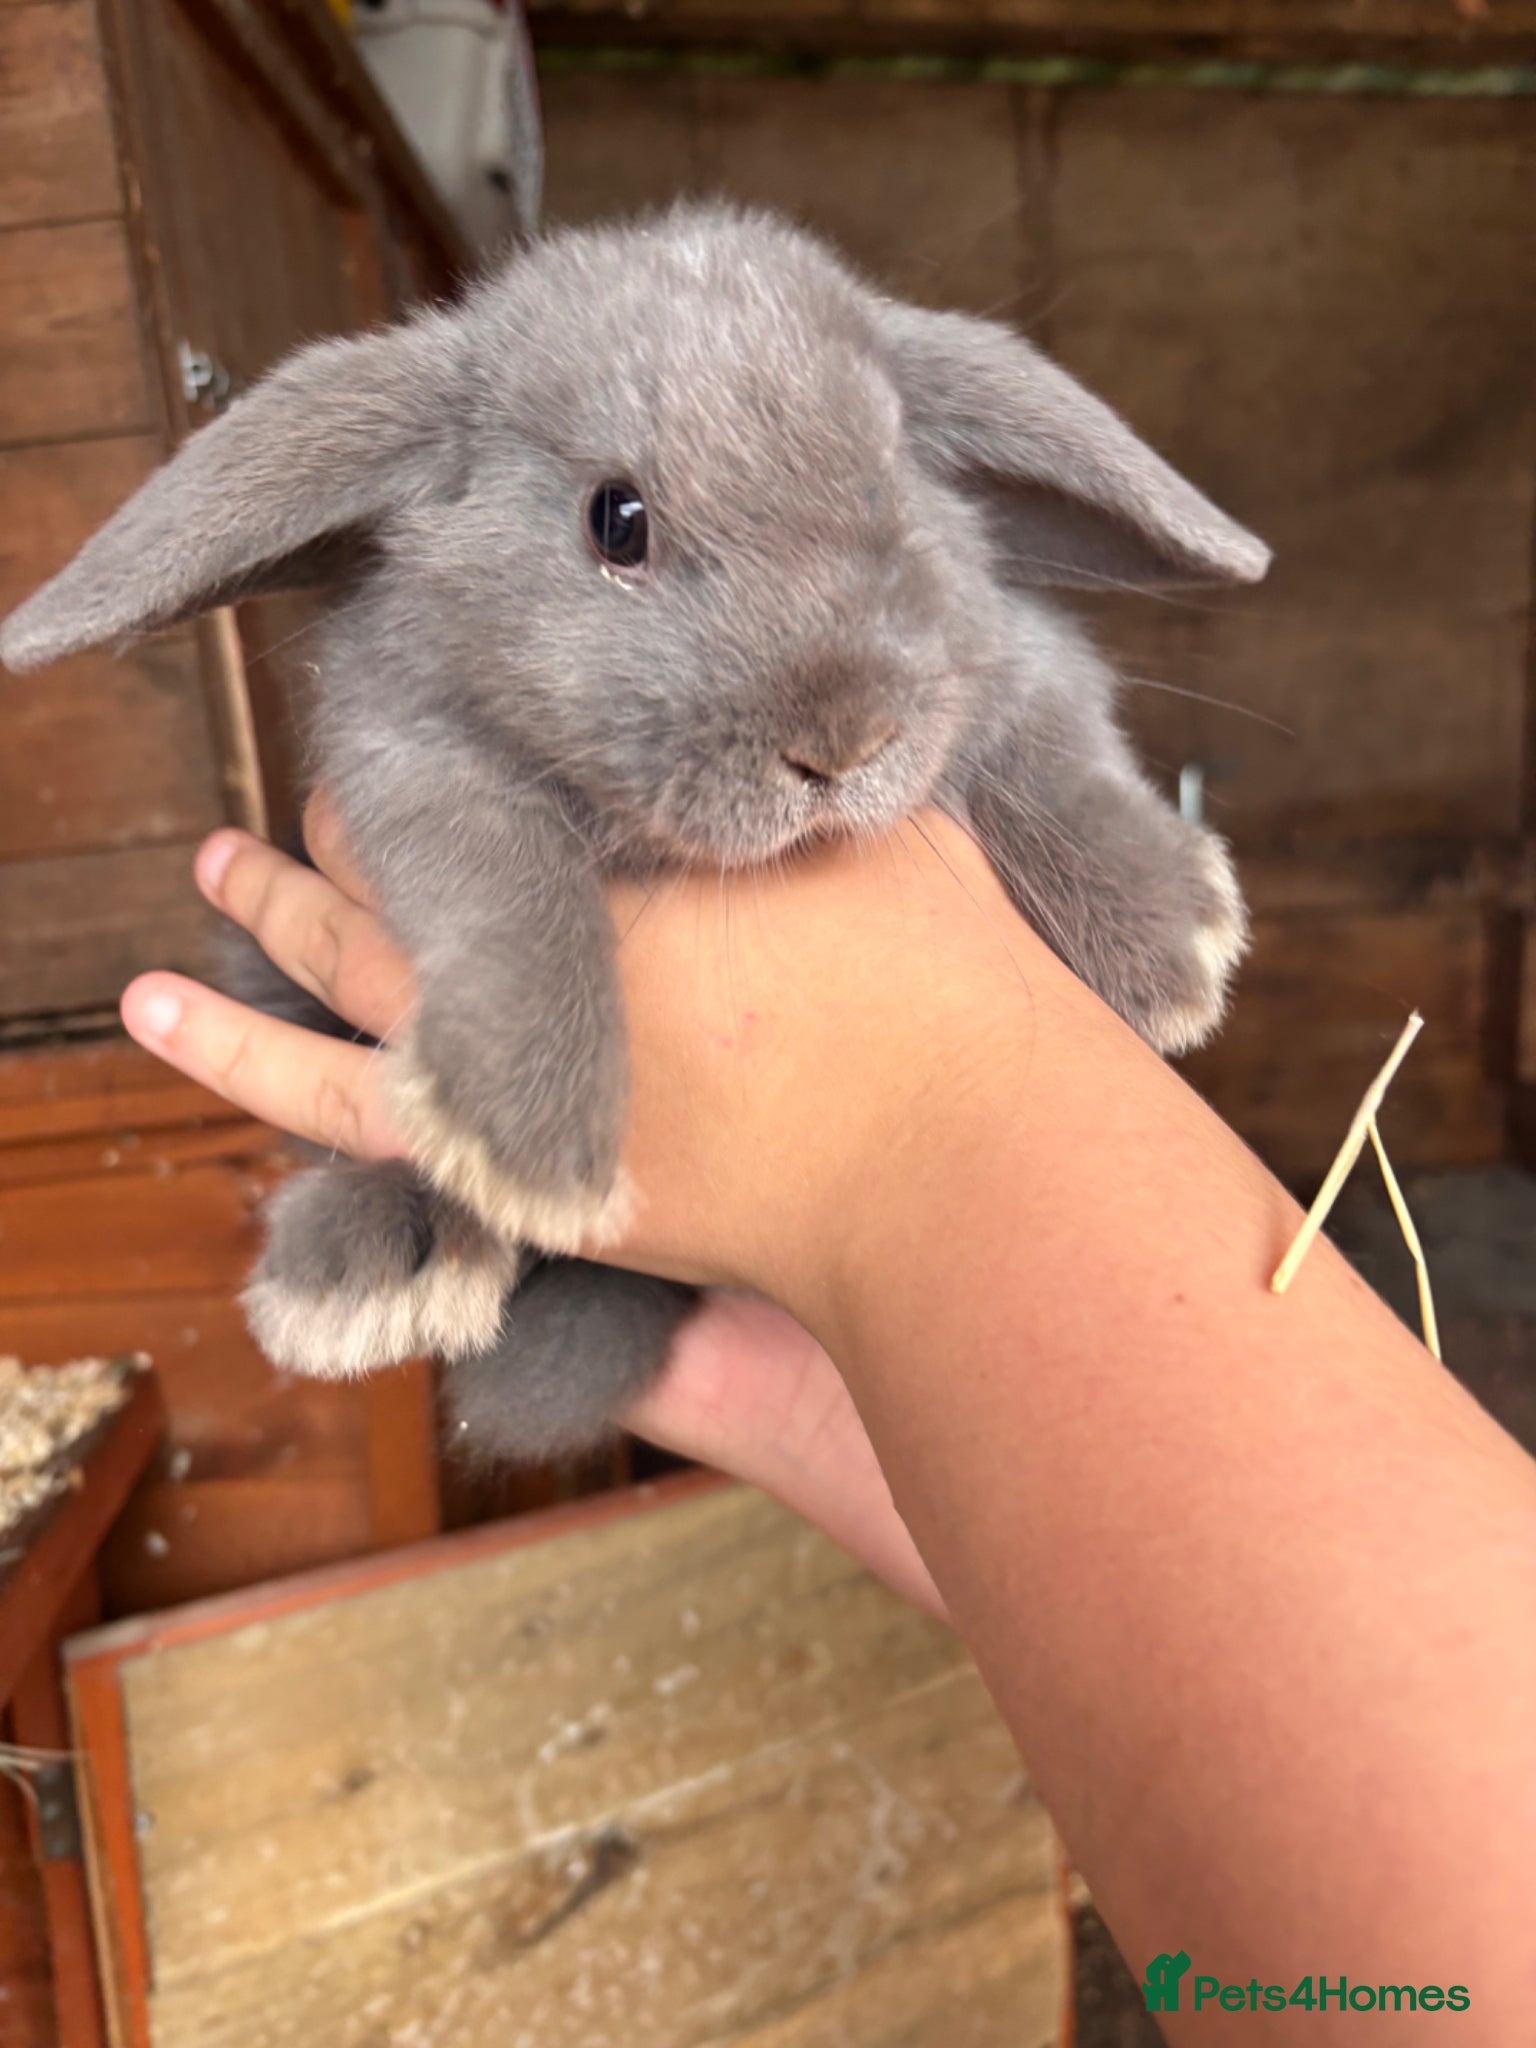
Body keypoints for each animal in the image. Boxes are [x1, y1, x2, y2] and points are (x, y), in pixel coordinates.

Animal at [1, 202, 1268, 1464]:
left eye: (894, 493)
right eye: (617, 519)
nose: (840, 743)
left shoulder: (1014, 660)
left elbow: (1046, 743)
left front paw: (1172, 945)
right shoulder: (414, 756)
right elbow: (510, 886)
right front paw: (528, 1140)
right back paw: (375, 1267)